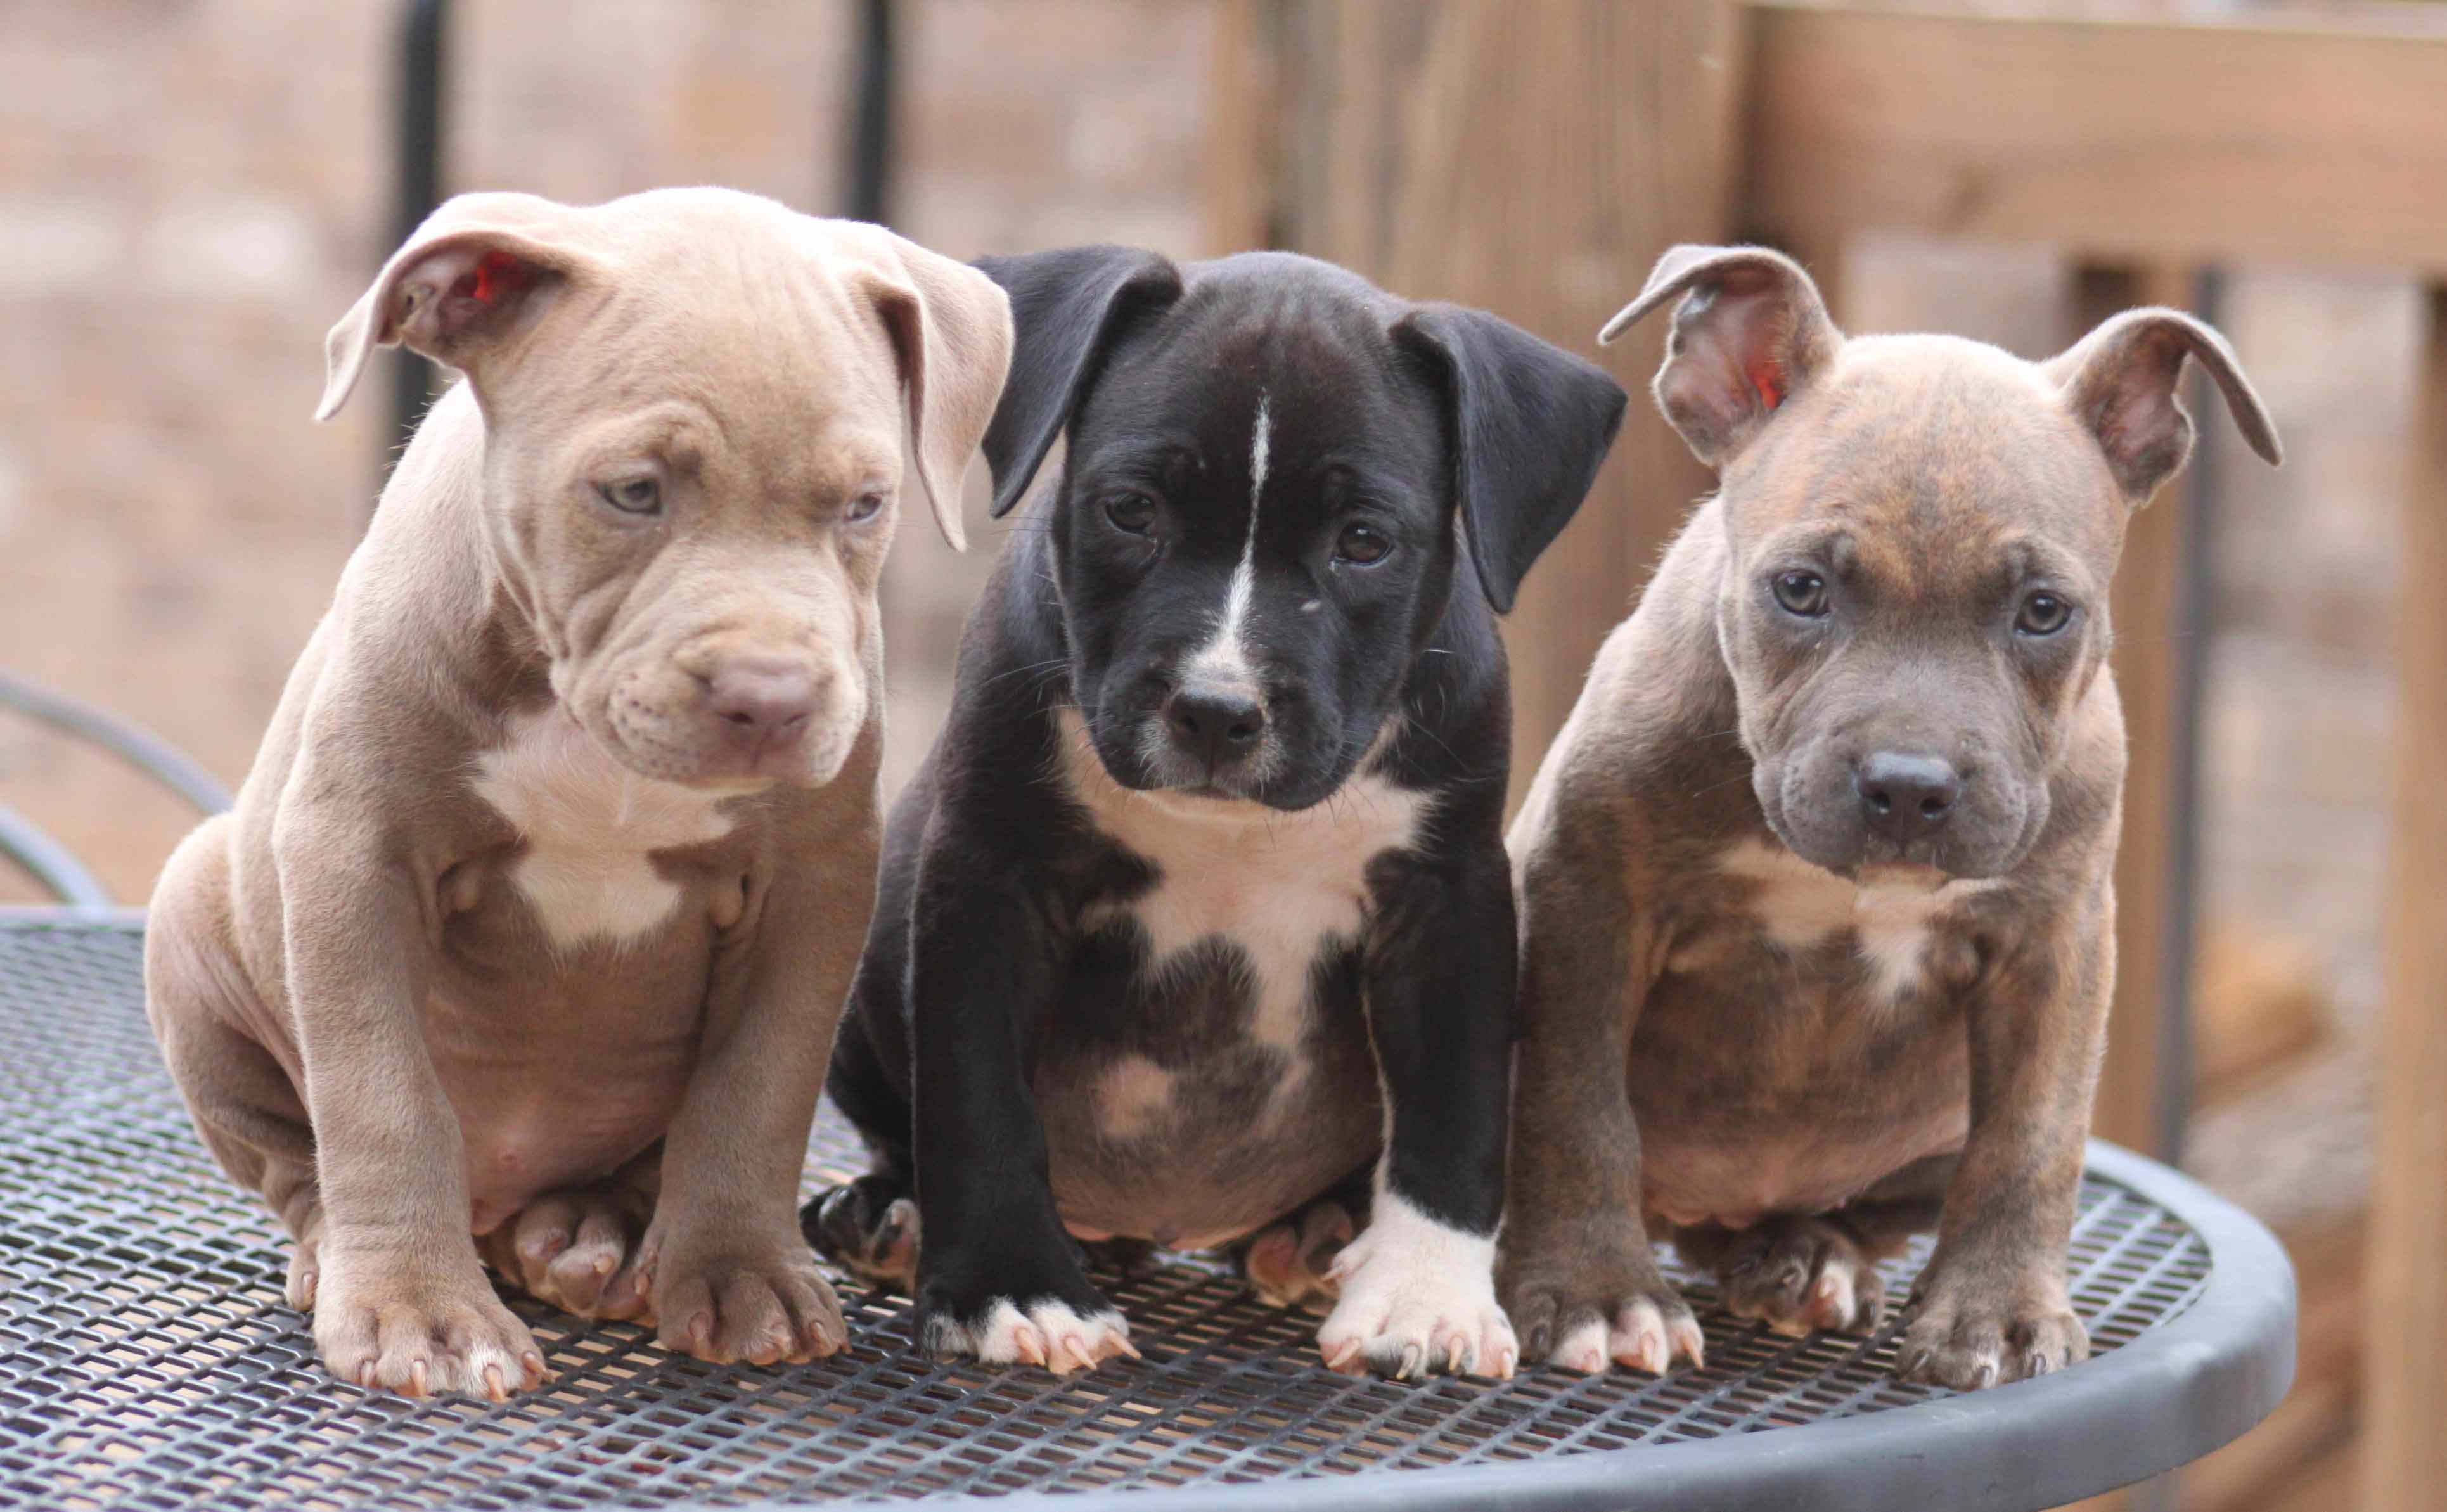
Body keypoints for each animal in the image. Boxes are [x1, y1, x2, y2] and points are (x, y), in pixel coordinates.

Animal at [143, 191, 1008, 1399]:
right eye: (633, 491)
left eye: (866, 505)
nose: (772, 695)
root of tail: (505, 1205)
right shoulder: (354, 855)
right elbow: (381, 1092)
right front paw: (420, 1312)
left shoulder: (815, 886)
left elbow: (758, 1089)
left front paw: (742, 1277)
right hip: (192, 909)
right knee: (297, 1156)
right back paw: (349, 1251)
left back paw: (592, 1236)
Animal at [802, 241, 1624, 1370]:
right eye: (1131, 510)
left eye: (1364, 541)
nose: (1217, 709)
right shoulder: (987, 876)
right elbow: (976, 1092)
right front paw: (1011, 1286)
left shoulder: (1448, 900)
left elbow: (1454, 1108)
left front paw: (1424, 1295)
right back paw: (888, 1219)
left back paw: (1315, 1233)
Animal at [1497, 241, 2280, 1380]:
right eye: (1799, 589)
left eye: (2044, 611)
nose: (1909, 786)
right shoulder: (1587, 903)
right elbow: (1572, 1103)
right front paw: (1597, 1291)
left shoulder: (2053, 946)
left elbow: (2032, 1140)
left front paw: (1997, 1308)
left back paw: (1802, 1259)